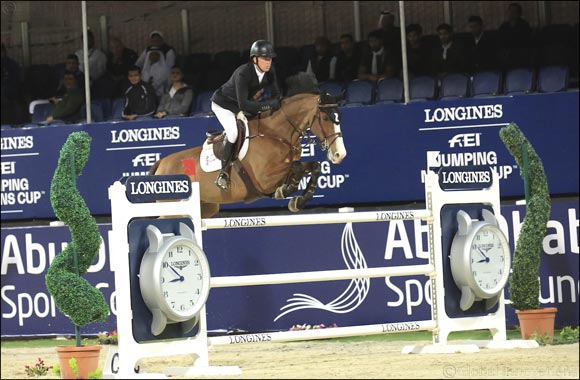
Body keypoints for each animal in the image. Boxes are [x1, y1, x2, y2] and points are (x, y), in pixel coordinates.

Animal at [150, 72, 346, 218]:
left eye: (339, 117)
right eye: (326, 117)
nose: (340, 155)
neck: (277, 134)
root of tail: (161, 163)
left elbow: (314, 166)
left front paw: (298, 200)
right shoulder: (264, 179)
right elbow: (296, 167)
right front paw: (285, 190)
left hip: (205, 207)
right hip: (172, 208)